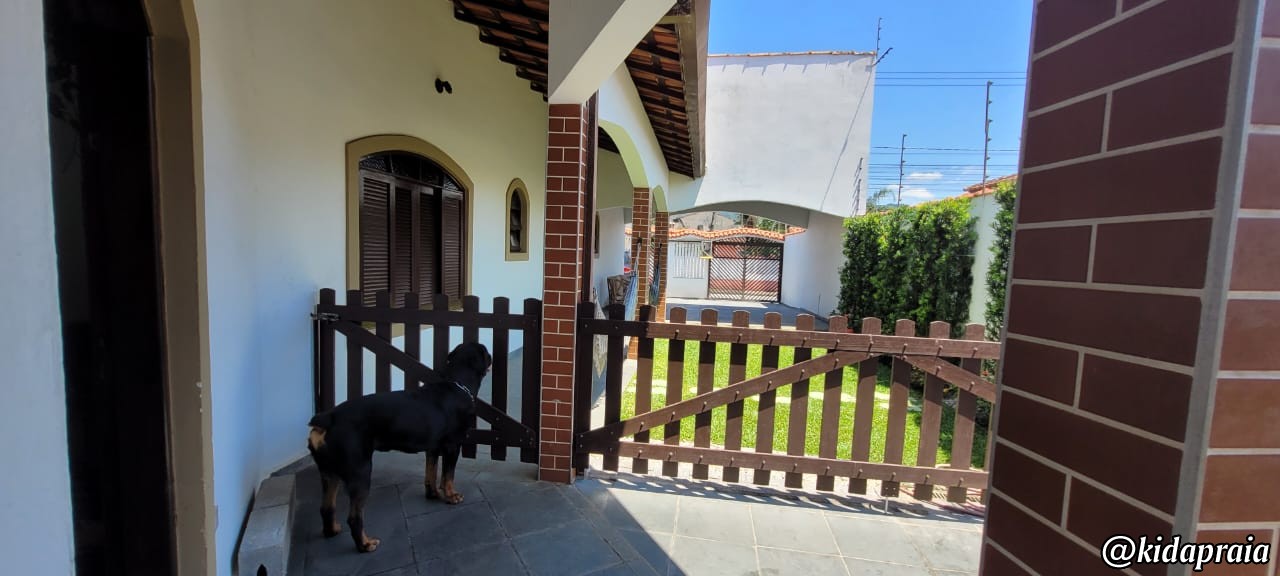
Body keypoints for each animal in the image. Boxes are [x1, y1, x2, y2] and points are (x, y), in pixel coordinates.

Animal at [306, 341, 492, 553]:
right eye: (486, 352)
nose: (492, 356)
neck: (458, 385)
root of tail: (328, 418)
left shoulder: (432, 448)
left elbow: (430, 472)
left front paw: (433, 494)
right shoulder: (452, 446)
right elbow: (448, 476)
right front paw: (451, 496)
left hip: (329, 472)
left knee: (326, 507)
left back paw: (332, 531)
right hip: (359, 471)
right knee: (354, 517)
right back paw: (365, 544)